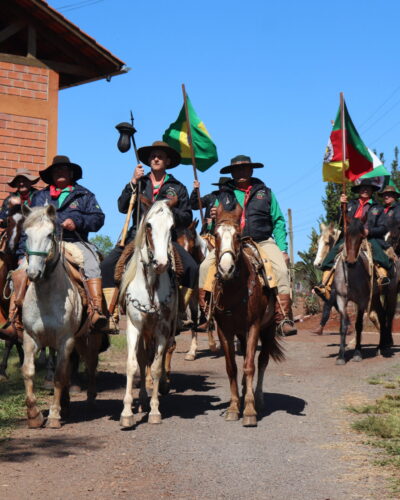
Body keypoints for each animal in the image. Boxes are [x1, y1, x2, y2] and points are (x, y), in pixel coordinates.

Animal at [20, 205, 101, 428]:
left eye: (49, 234)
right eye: (26, 234)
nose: (33, 273)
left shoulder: (66, 340)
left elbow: (59, 376)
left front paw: (54, 416)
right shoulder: (30, 339)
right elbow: (28, 371)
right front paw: (34, 416)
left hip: (87, 338)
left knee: (90, 364)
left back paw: (90, 399)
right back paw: (65, 404)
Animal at [119, 201, 178, 428]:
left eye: (172, 227)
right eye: (149, 226)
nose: (161, 263)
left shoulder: (162, 331)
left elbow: (156, 368)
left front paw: (154, 411)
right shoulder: (134, 327)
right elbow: (132, 365)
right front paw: (127, 413)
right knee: (142, 360)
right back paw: (142, 399)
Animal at [212, 203, 284, 426]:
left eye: (237, 235)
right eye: (215, 235)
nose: (226, 269)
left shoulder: (253, 326)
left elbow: (250, 366)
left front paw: (250, 411)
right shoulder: (224, 330)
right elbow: (232, 368)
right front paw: (234, 407)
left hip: (268, 329)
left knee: (261, 361)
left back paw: (257, 399)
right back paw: (245, 393)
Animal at [334, 217, 390, 366]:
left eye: (361, 237)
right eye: (346, 235)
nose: (351, 262)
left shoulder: (362, 300)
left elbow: (358, 325)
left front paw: (357, 353)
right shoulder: (341, 299)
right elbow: (343, 326)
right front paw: (340, 356)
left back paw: (383, 347)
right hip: (375, 297)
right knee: (381, 315)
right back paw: (380, 347)